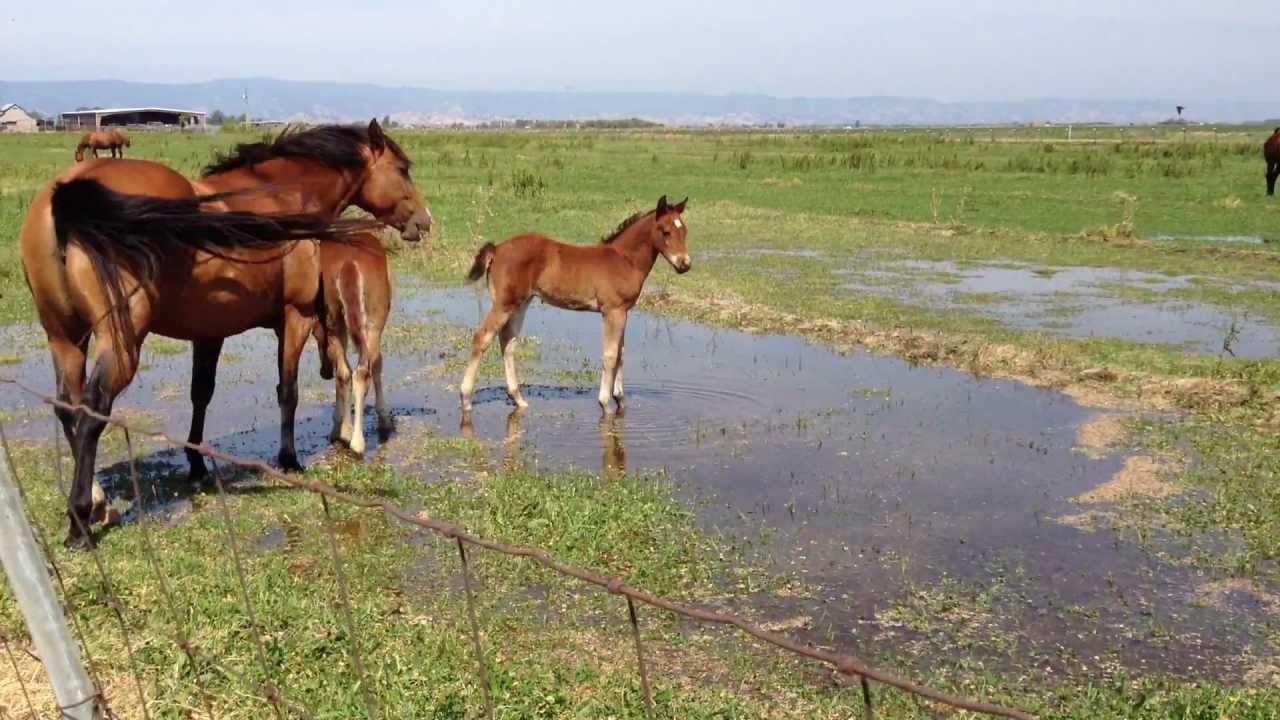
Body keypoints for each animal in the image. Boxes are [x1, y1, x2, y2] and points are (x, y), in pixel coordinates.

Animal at [314, 234, 393, 455]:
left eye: (315, 336)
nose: (323, 372)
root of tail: (349, 263)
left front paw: (341, 429)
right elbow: (377, 365)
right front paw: (384, 420)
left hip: (337, 323)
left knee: (346, 372)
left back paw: (350, 436)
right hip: (372, 323)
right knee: (362, 370)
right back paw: (357, 441)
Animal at [459, 195, 690, 414]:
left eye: (684, 231)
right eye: (666, 231)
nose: (685, 264)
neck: (624, 260)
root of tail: (497, 249)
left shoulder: (624, 311)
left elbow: (621, 354)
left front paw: (620, 399)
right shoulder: (612, 311)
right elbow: (610, 355)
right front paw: (605, 403)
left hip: (520, 303)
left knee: (508, 341)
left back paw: (518, 399)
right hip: (504, 303)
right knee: (482, 337)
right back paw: (466, 398)